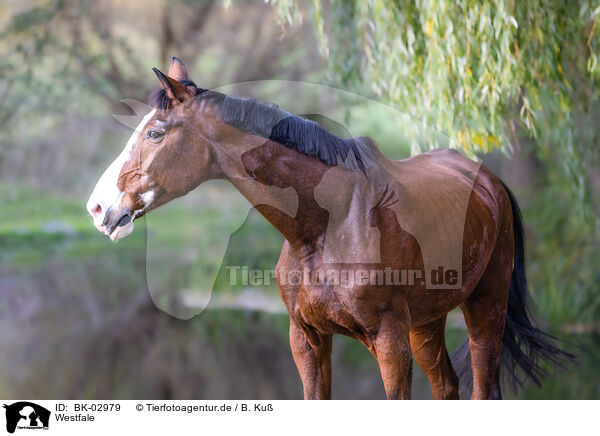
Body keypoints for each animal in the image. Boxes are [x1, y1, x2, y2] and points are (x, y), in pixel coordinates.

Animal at [85, 57, 572, 398]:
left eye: (155, 133)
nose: (97, 207)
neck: (325, 229)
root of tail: (489, 182)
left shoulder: (389, 344)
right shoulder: (308, 341)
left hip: (485, 307)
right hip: (428, 323)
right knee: (447, 387)